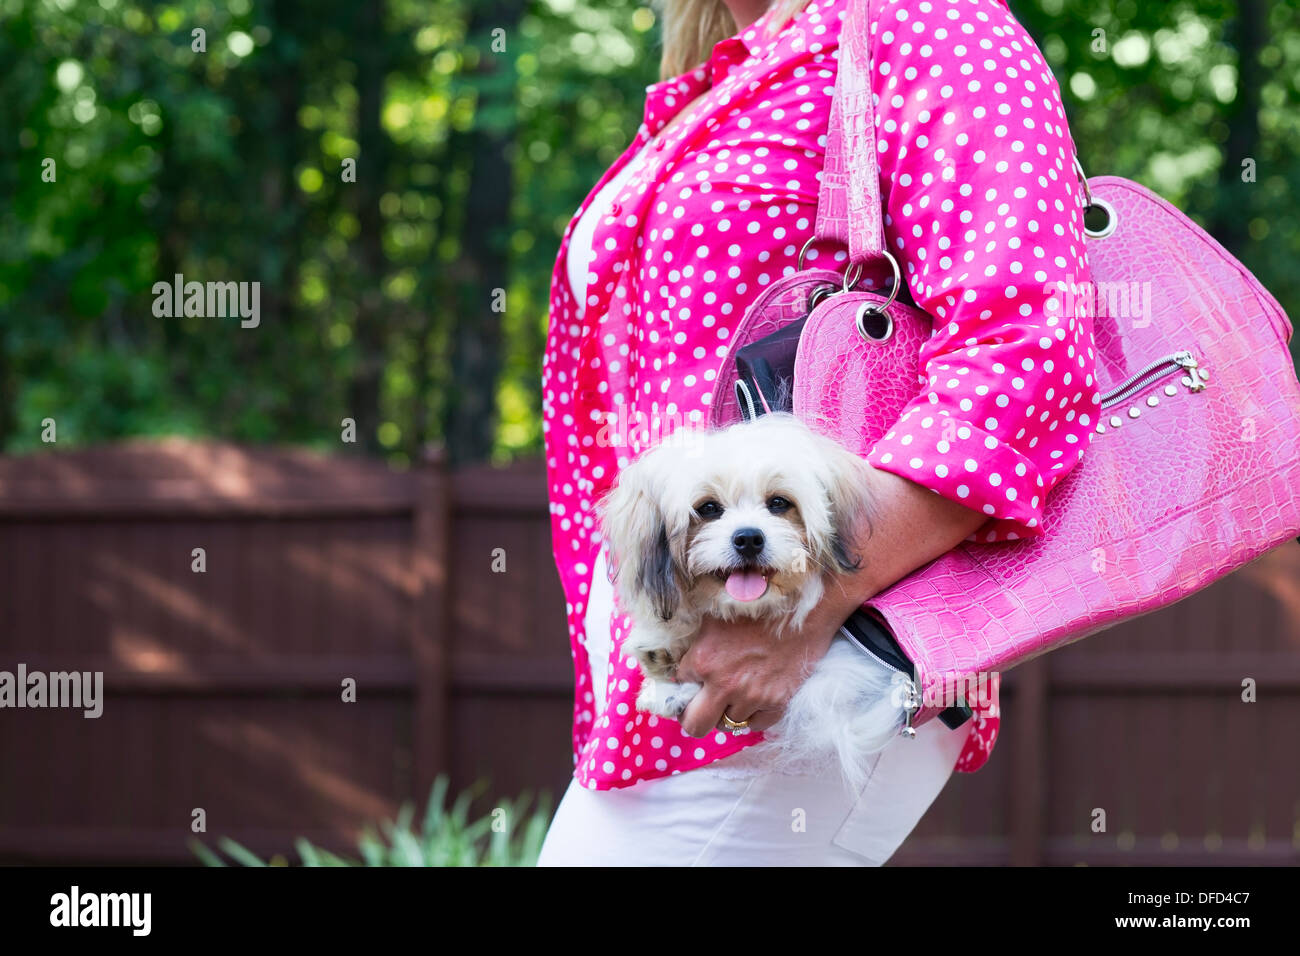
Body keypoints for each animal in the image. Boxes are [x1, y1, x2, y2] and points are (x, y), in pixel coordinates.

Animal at [595, 411, 904, 790]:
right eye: (708, 508)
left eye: (779, 503)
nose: (748, 538)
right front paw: (663, 660)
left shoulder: (849, 672)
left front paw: (672, 686)